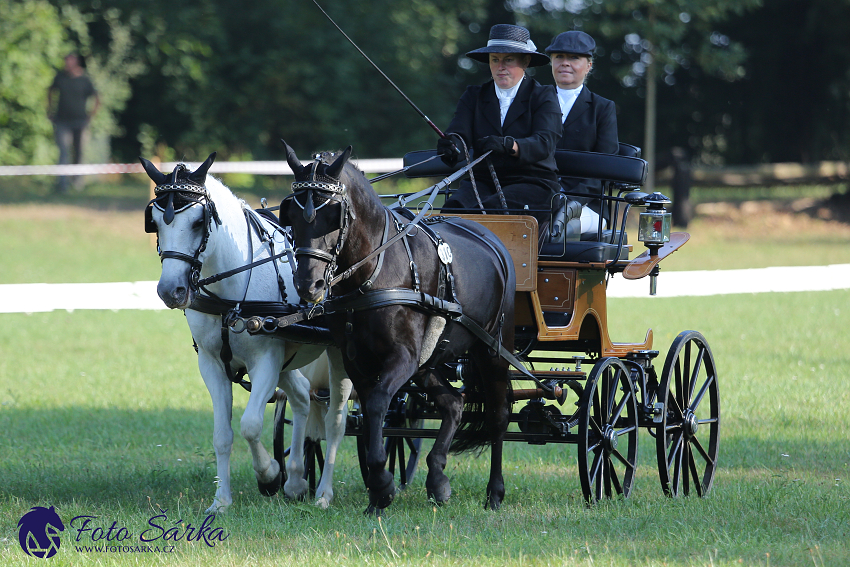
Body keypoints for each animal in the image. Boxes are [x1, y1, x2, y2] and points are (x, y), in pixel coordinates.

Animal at [142, 154, 352, 510]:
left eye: (198, 222)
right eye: (155, 221)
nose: (171, 290)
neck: (231, 293)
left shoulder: (265, 360)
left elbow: (251, 426)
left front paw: (268, 475)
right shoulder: (212, 364)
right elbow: (222, 435)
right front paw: (222, 500)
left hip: (340, 356)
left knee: (336, 421)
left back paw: (322, 492)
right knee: (302, 396)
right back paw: (297, 478)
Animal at [282, 144, 512, 516]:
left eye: (332, 214)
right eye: (291, 213)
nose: (308, 284)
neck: (375, 270)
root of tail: (491, 238)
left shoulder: (401, 357)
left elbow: (377, 403)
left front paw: (382, 484)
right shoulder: (357, 359)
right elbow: (370, 411)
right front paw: (379, 491)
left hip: (491, 349)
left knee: (498, 416)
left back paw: (494, 492)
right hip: (428, 360)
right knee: (453, 404)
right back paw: (437, 478)